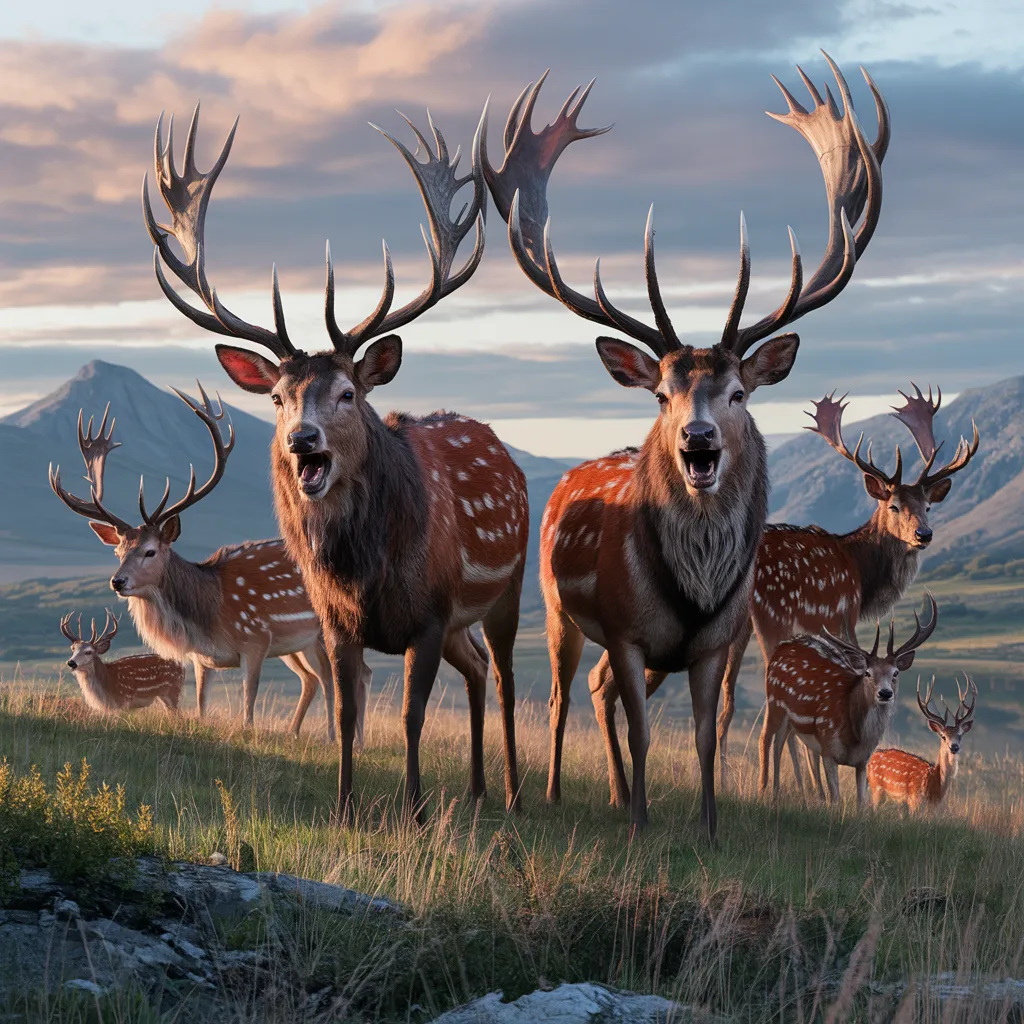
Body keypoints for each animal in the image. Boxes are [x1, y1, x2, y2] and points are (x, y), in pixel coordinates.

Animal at [49, 388, 370, 744]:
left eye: (150, 551)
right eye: (118, 551)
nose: (118, 582)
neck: (209, 615)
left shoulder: (256, 639)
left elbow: (248, 706)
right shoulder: (202, 659)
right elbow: (202, 706)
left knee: (347, 676)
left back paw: (343, 739)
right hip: (301, 644)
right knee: (321, 678)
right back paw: (316, 735)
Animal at [142, 104, 528, 823]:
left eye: (348, 392)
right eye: (277, 396)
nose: (302, 440)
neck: (364, 572)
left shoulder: (429, 615)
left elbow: (408, 717)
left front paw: (415, 811)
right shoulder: (336, 623)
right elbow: (347, 714)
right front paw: (347, 809)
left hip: (509, 587)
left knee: (508, 673)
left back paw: (515, 792)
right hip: (459, 623)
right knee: (478, 668)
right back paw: (477, 788)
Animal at [482, 54, 886, 835]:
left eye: (739, 393)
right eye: (661, 394)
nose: (697, 440)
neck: (694, 583)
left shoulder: (713, 644)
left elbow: (707, 735)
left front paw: (707, 825)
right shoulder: (628, 632)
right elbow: (644, 729)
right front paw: (643, 823)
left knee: (600, 688)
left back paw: (612, 792)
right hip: (555, 607)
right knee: (565, 692)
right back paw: (557, 792)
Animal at [759, 594, 938, 806]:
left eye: (895, 673)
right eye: (867, 673)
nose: (885, 693)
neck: (856, 738)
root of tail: (781, 647)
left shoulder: (863, 761)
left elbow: (861, 803)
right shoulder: (828, 748)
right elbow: (835, 799)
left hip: (795, 723)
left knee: (793, 745)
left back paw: (811, 796)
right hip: (774, 702)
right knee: (769, 740)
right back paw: (767, 791)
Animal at [867, 674, 976, 810]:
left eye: (960, 735)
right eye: (943, 736)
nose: (954, 747)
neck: (933, 787)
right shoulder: (914, 801)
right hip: (876, 789)